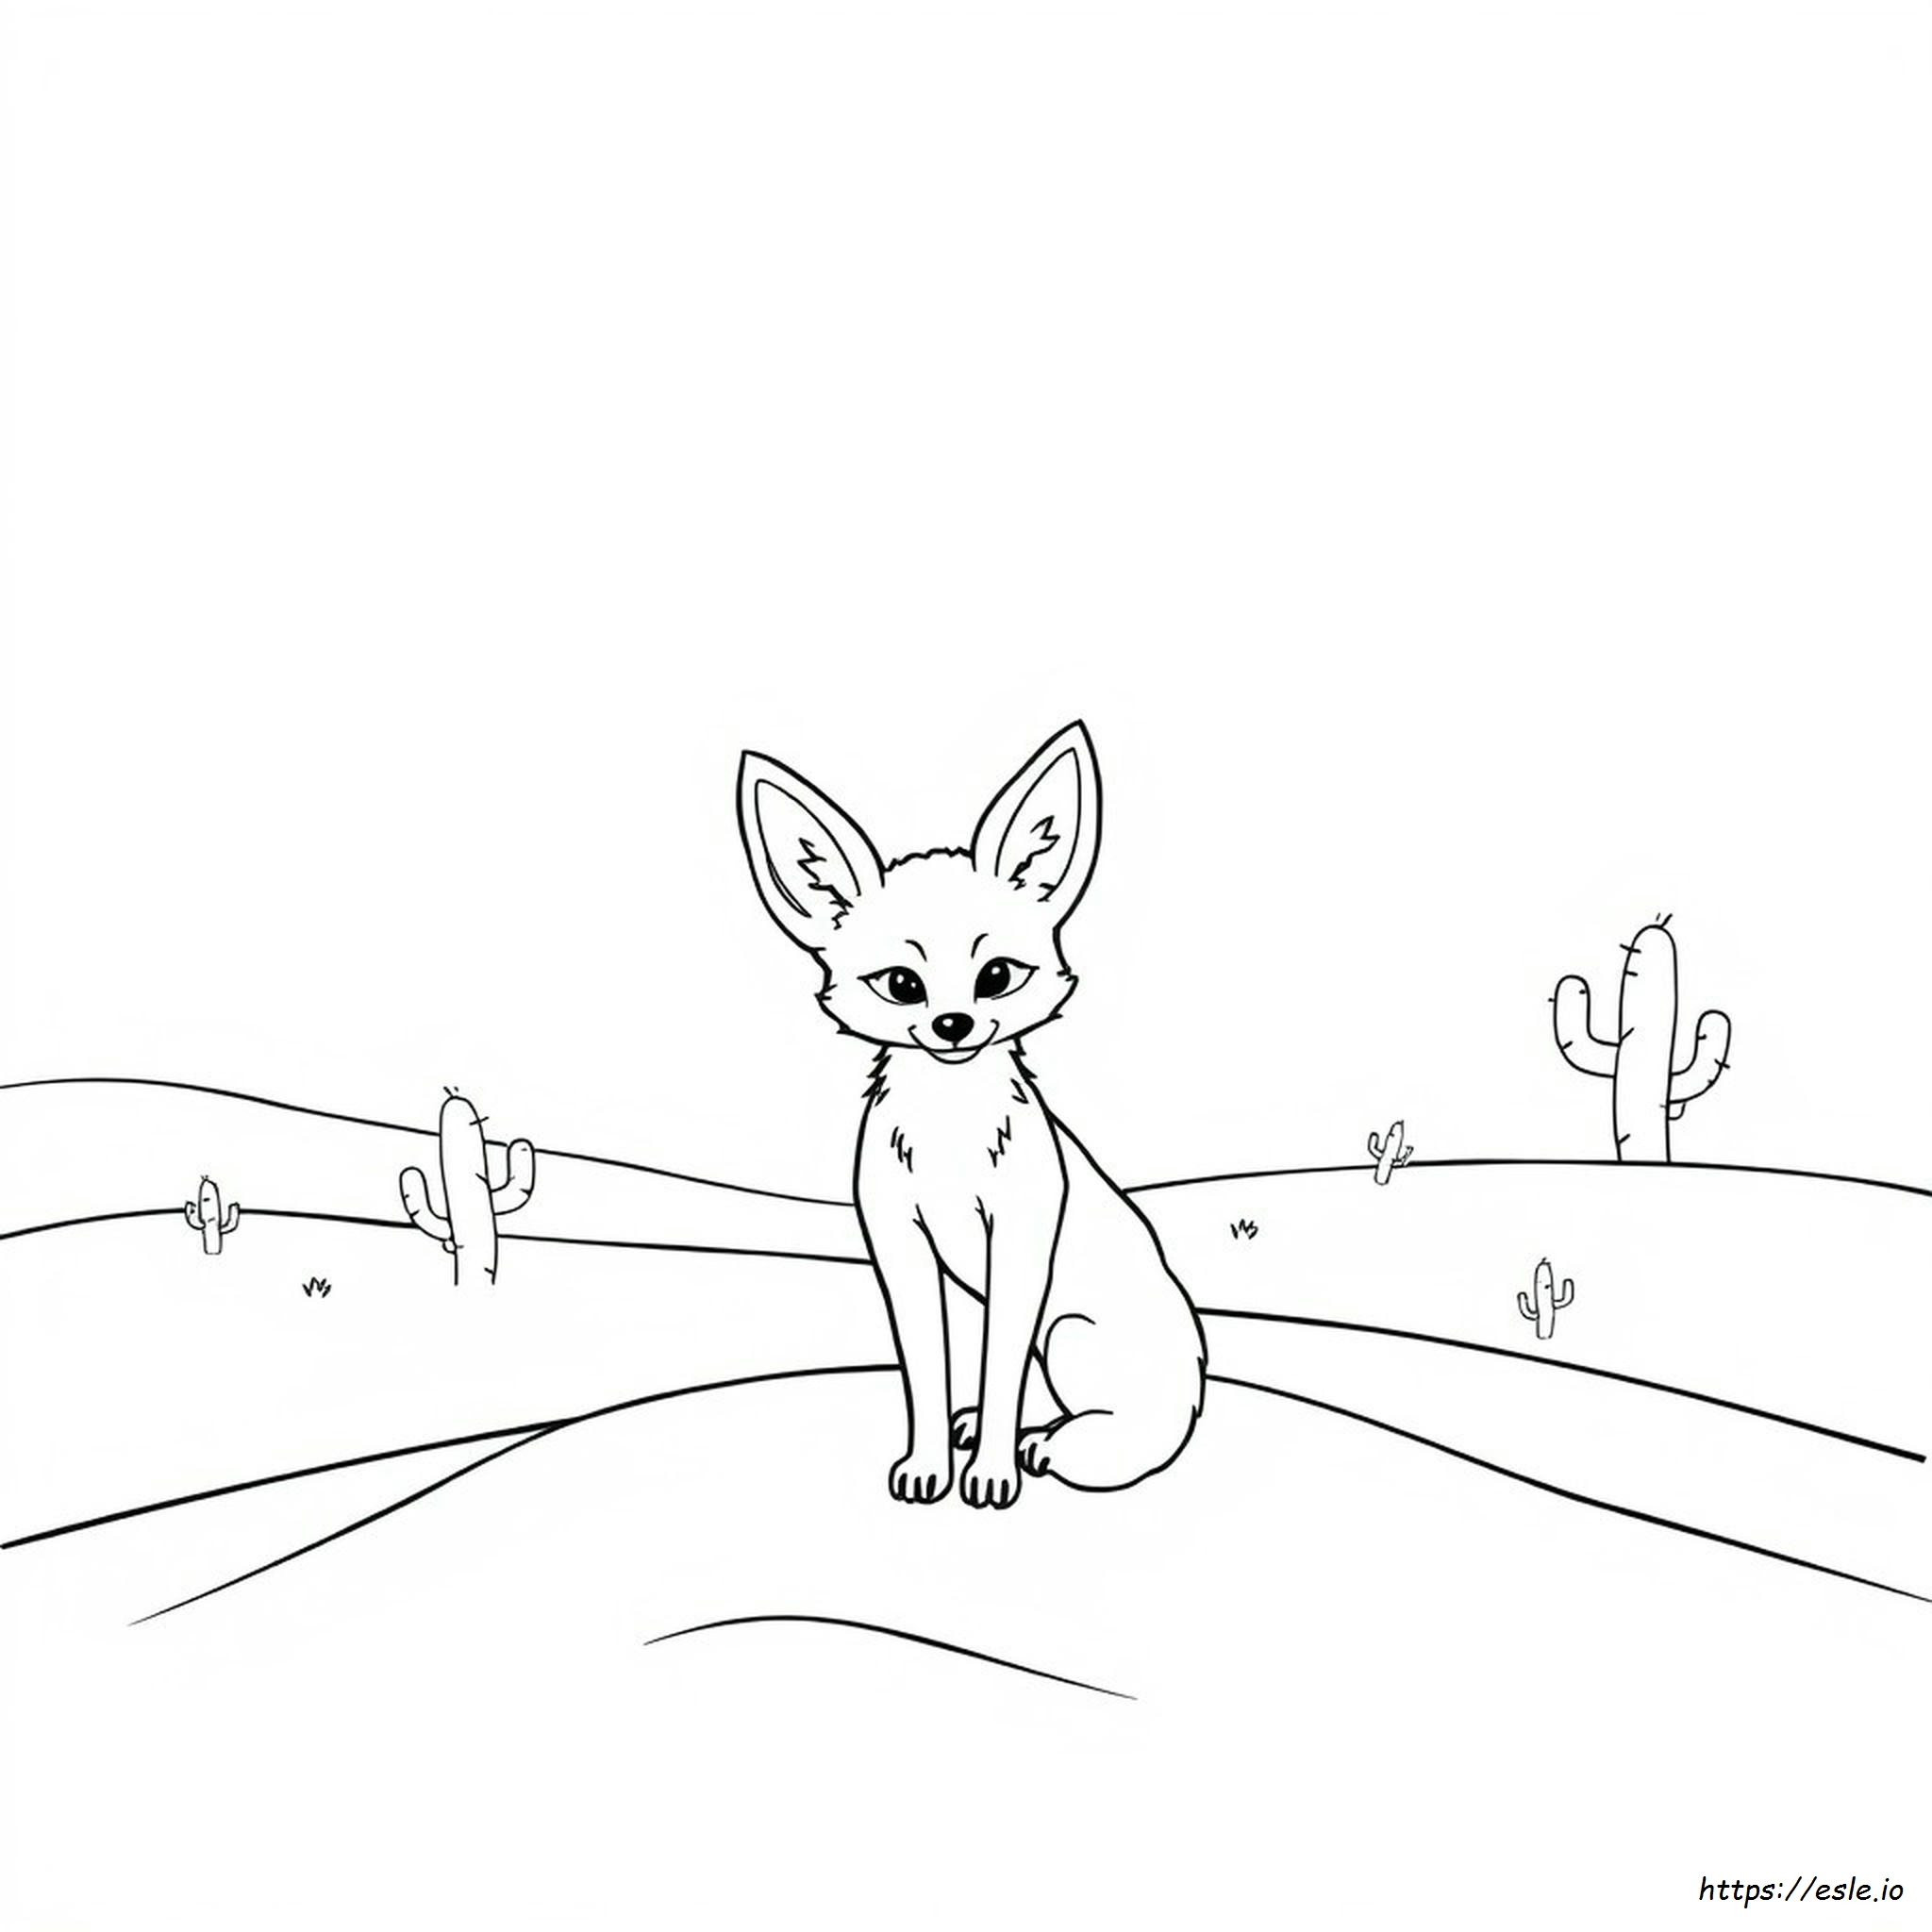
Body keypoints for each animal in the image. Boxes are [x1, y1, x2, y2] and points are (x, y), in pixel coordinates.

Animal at [738, 720, 1206, 1509]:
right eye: (901, 984)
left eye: (997, 977)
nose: (953, 1024)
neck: (948, 1135)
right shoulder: (900, 1247)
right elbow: (929, 1370)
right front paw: (928, 1463)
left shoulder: (1018, 1243)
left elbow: (999, 1369)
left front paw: (991, 1474)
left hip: (1074, 1332)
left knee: (1132, 1436)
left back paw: (1051, 1445)